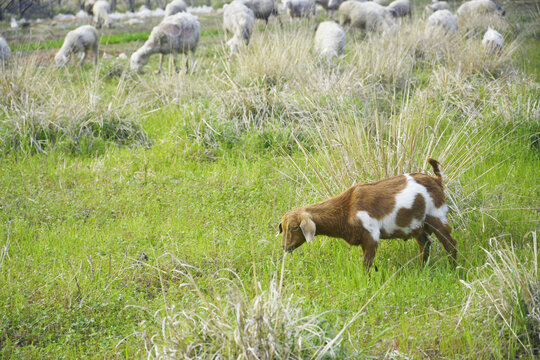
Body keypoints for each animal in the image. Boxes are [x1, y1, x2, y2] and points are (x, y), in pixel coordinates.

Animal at [280, 159, 458, 268]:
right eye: (283, 227)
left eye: (295, 227)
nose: (285, 247)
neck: (347, 208)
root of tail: (436, 180)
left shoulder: (371, 235)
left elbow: (366, 264)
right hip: (416, 225)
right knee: (425, 244)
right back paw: (422, 268)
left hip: (436, 216)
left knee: (450, 243)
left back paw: (453, 269)